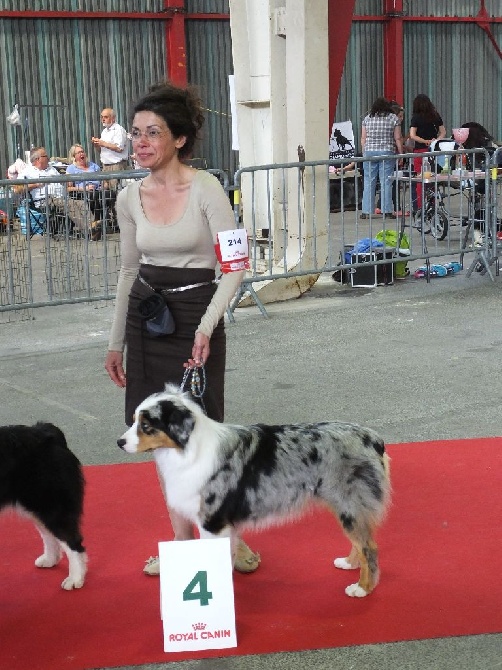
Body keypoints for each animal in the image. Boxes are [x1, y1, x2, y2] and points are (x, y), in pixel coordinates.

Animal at [0, 422, 87, 592]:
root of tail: (46, 430)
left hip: (50, 505)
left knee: (72, 541)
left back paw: (75, 578)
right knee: (48, 535)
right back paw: (50, 559)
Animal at [118, 386, 392, 600]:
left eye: (146, 426)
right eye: (133, 420)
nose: (119, 442)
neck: (188, 450)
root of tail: (374, 438)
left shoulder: (212, 522)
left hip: (349, 504)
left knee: (369, 546)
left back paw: (362, 588)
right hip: (347, 506)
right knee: (361, 542)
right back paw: (349, 563)